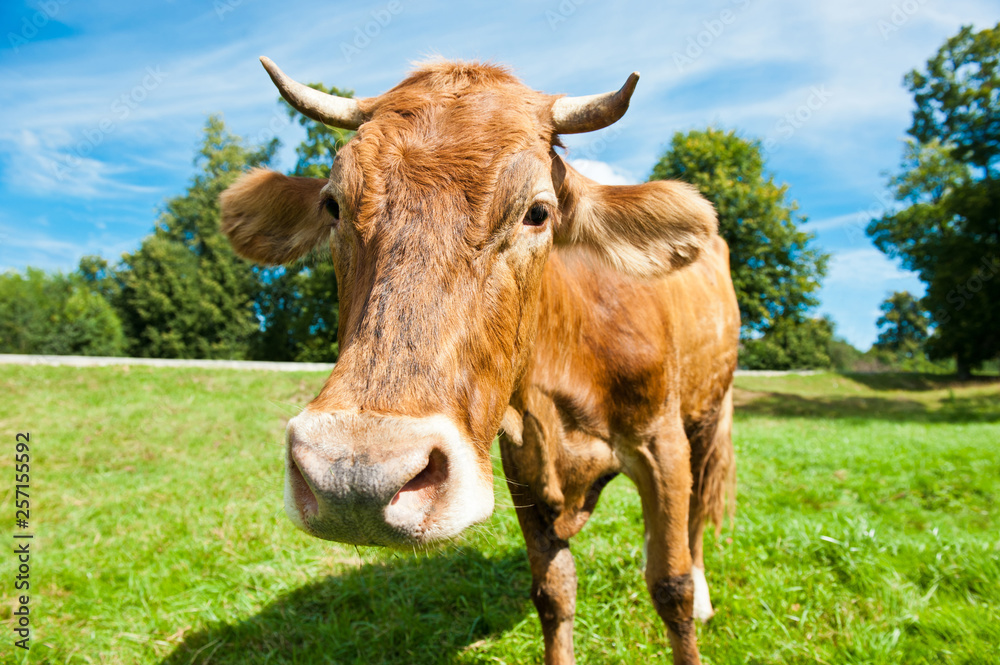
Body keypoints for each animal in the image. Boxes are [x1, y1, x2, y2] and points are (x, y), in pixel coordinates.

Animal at [219, 58, 740, 664]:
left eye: (538, 211)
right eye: (333, 205)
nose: (354, 478)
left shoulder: (662, 442)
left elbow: (669, 586)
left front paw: (687, 596)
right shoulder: (520, 461)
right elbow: (553, 589)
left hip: (709, 414)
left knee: (699, 513)